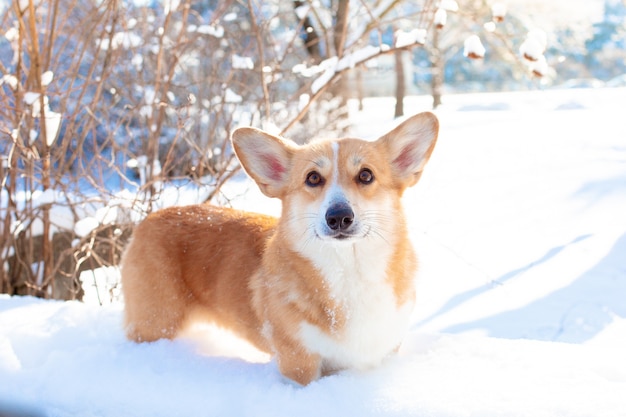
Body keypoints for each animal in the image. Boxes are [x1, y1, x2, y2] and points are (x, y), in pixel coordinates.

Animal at [119, 110, 436, 384]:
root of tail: (149, 219)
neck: (349, 271)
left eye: (366, 175)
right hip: (156, 322)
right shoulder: (299, 363)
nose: (338, 217)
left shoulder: (385, 350)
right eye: (313, 178)